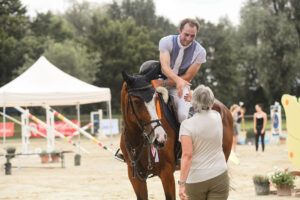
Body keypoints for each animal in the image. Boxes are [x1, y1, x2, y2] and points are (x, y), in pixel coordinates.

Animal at [120, 68, 233, 199]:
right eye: (136, 102)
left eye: (156, 99)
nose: (160, 138)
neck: (138, 140)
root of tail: (223, 108)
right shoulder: (135, 177)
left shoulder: (167, 173)